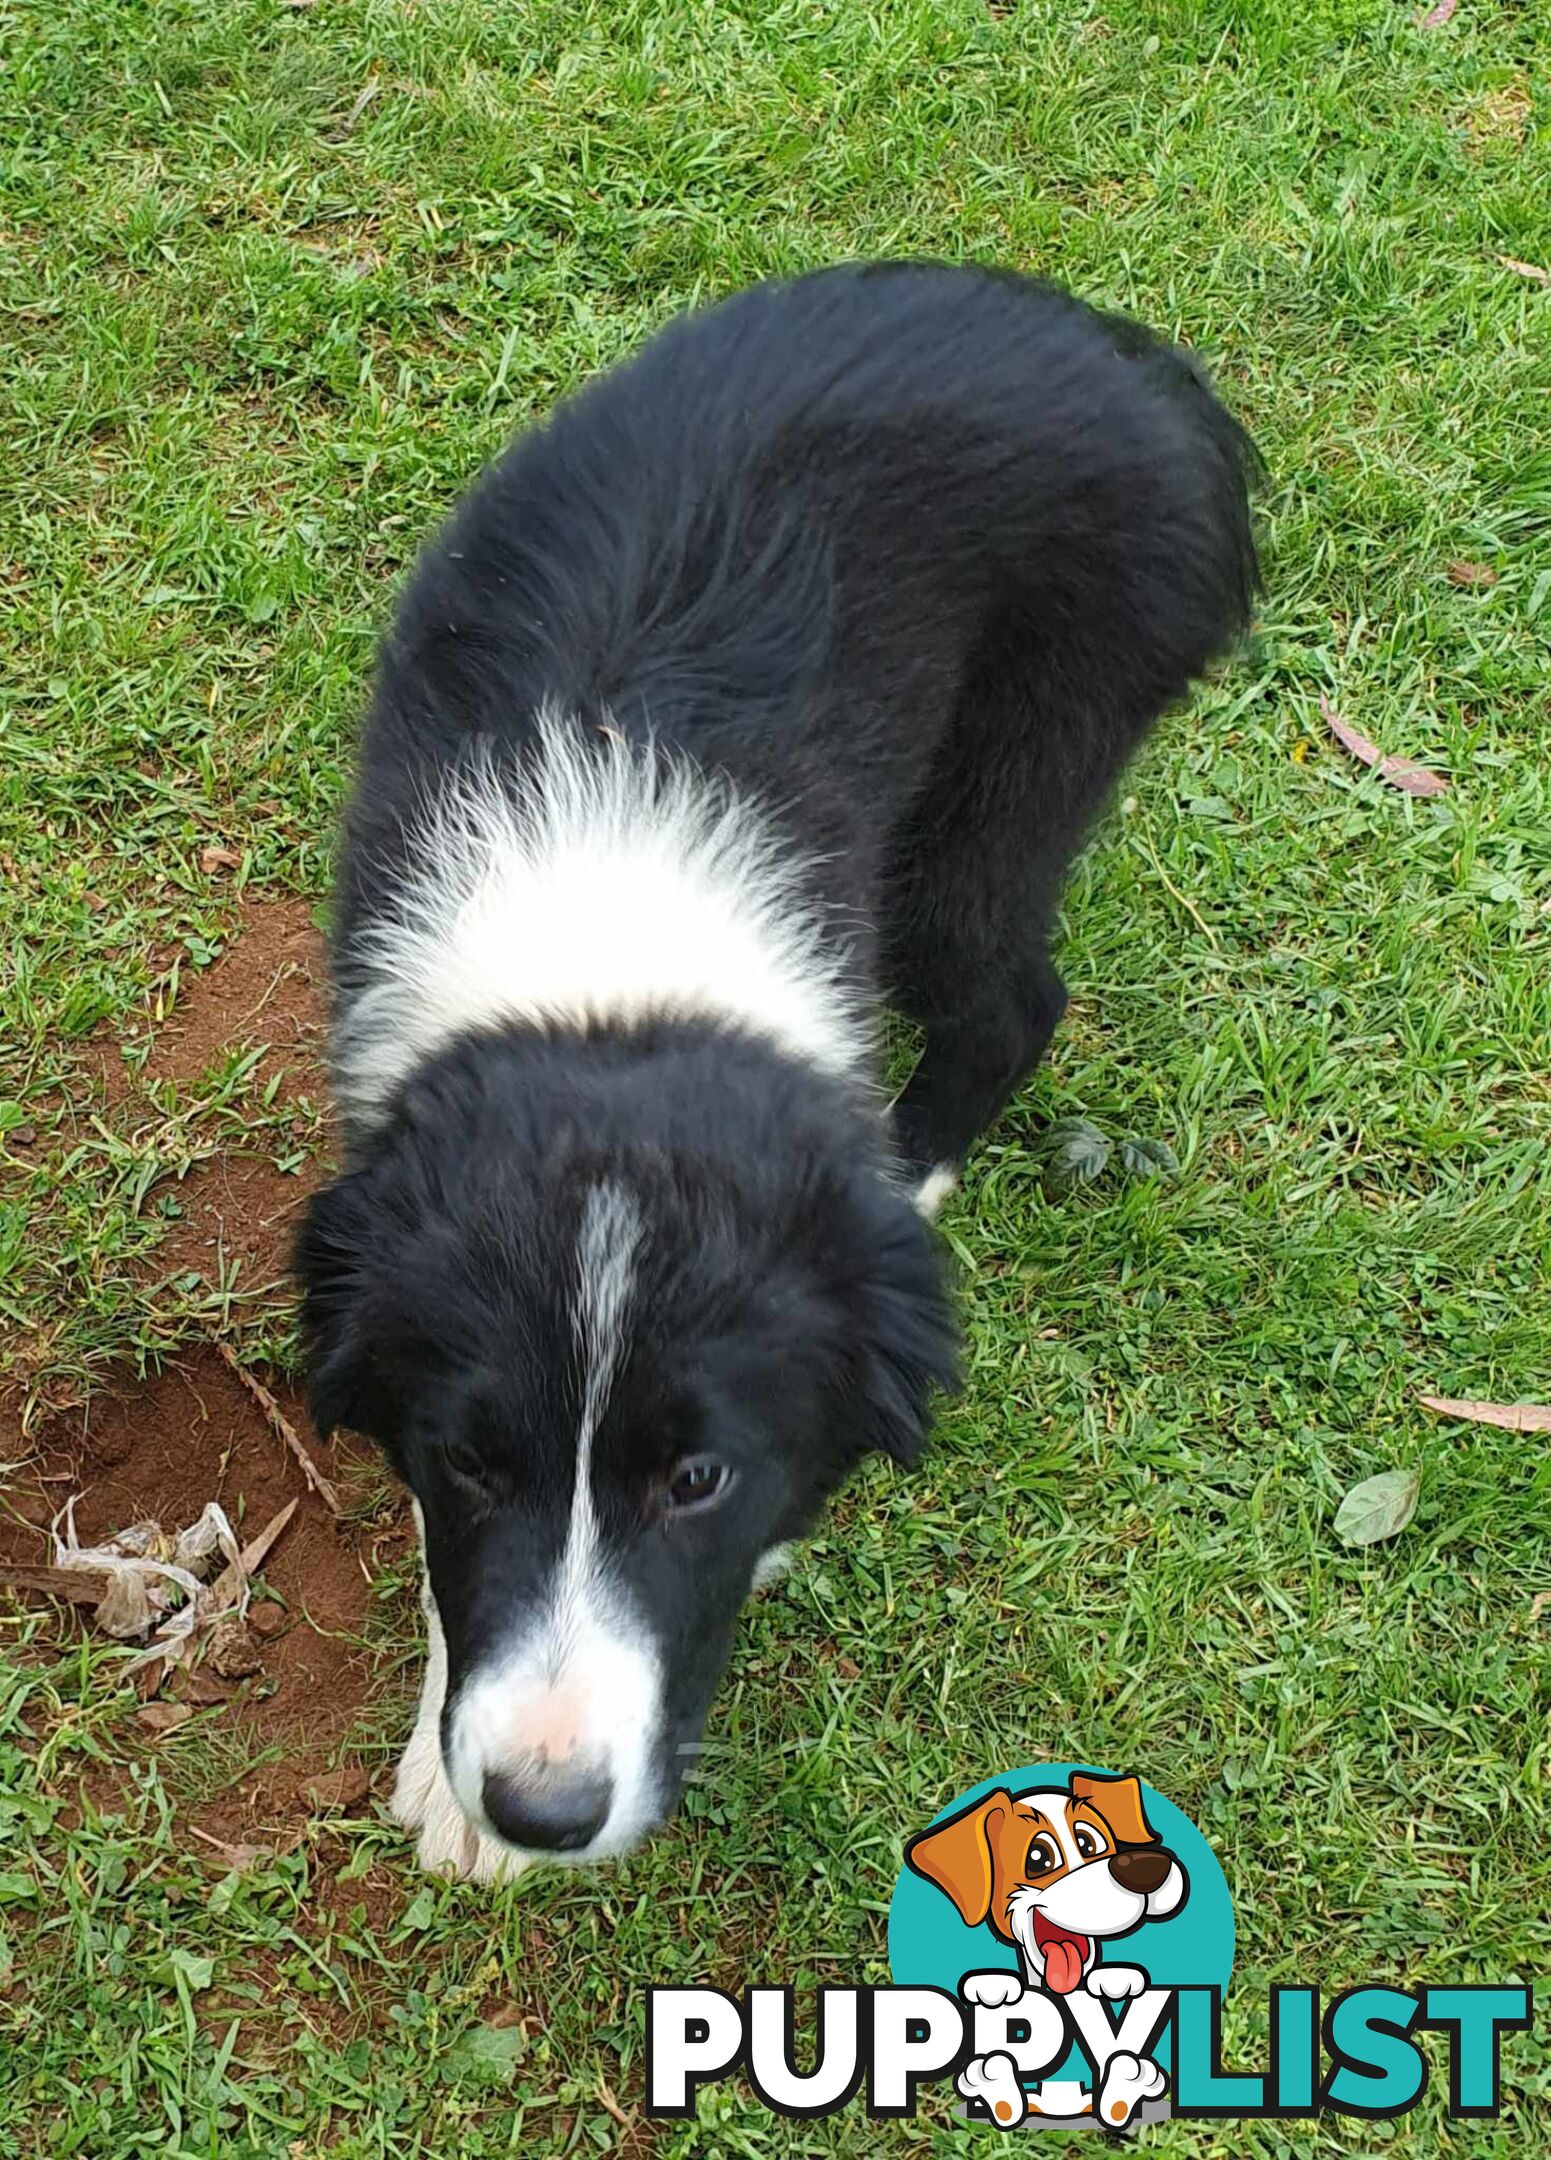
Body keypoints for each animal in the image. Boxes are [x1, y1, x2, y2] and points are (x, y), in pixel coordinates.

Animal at [293, 261, 1261, 1874]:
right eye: (470, 1461)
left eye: (699, 1480)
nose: (544, 1810)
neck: (607, 954)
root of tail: (1122, 351)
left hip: (1008, 781)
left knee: (1015, 999)